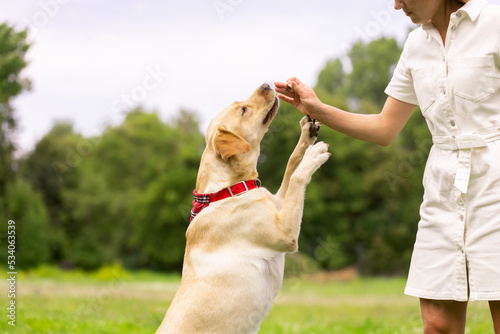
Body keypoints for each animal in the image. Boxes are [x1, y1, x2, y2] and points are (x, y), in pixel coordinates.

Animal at [155, 82, 328, 332]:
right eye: (244, 110)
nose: (266, 84)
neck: (228, 189)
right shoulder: (284, 234)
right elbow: (297, 177)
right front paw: (313, 156)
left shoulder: (278, 203)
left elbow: (291, 165)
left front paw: (307, 134)